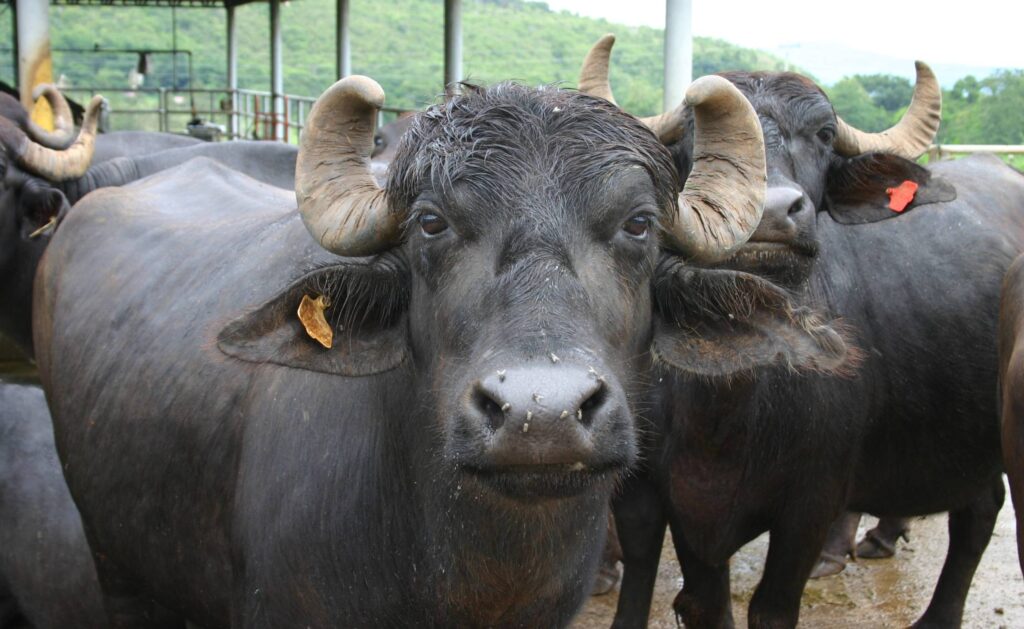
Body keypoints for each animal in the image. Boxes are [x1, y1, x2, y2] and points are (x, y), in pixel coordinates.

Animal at [581, 35, 1024, 628]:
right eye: (698, 136)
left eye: (824, 135)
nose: (770, 213)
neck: (729, 403)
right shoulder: (665, 500)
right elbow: (701, 602)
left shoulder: (812, 502)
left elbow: (771, 607)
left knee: (978, 515)